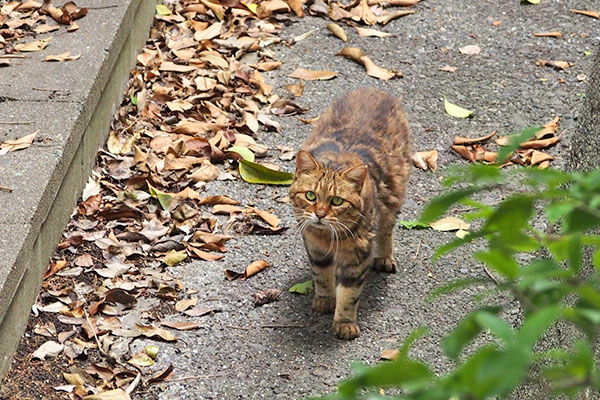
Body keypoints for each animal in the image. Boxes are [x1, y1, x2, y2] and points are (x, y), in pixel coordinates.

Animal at [288, 86, 410, 338]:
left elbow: (349, 293)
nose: (320, 214)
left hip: (394, 196)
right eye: (311, 196)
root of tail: (373, 89)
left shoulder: (357, 254)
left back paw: (385, 257)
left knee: (386, 230)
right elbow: (322, 276)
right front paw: (325, 299)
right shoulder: (314, 247)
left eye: (337, 201)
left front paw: (344, 322)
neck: (327, 237)